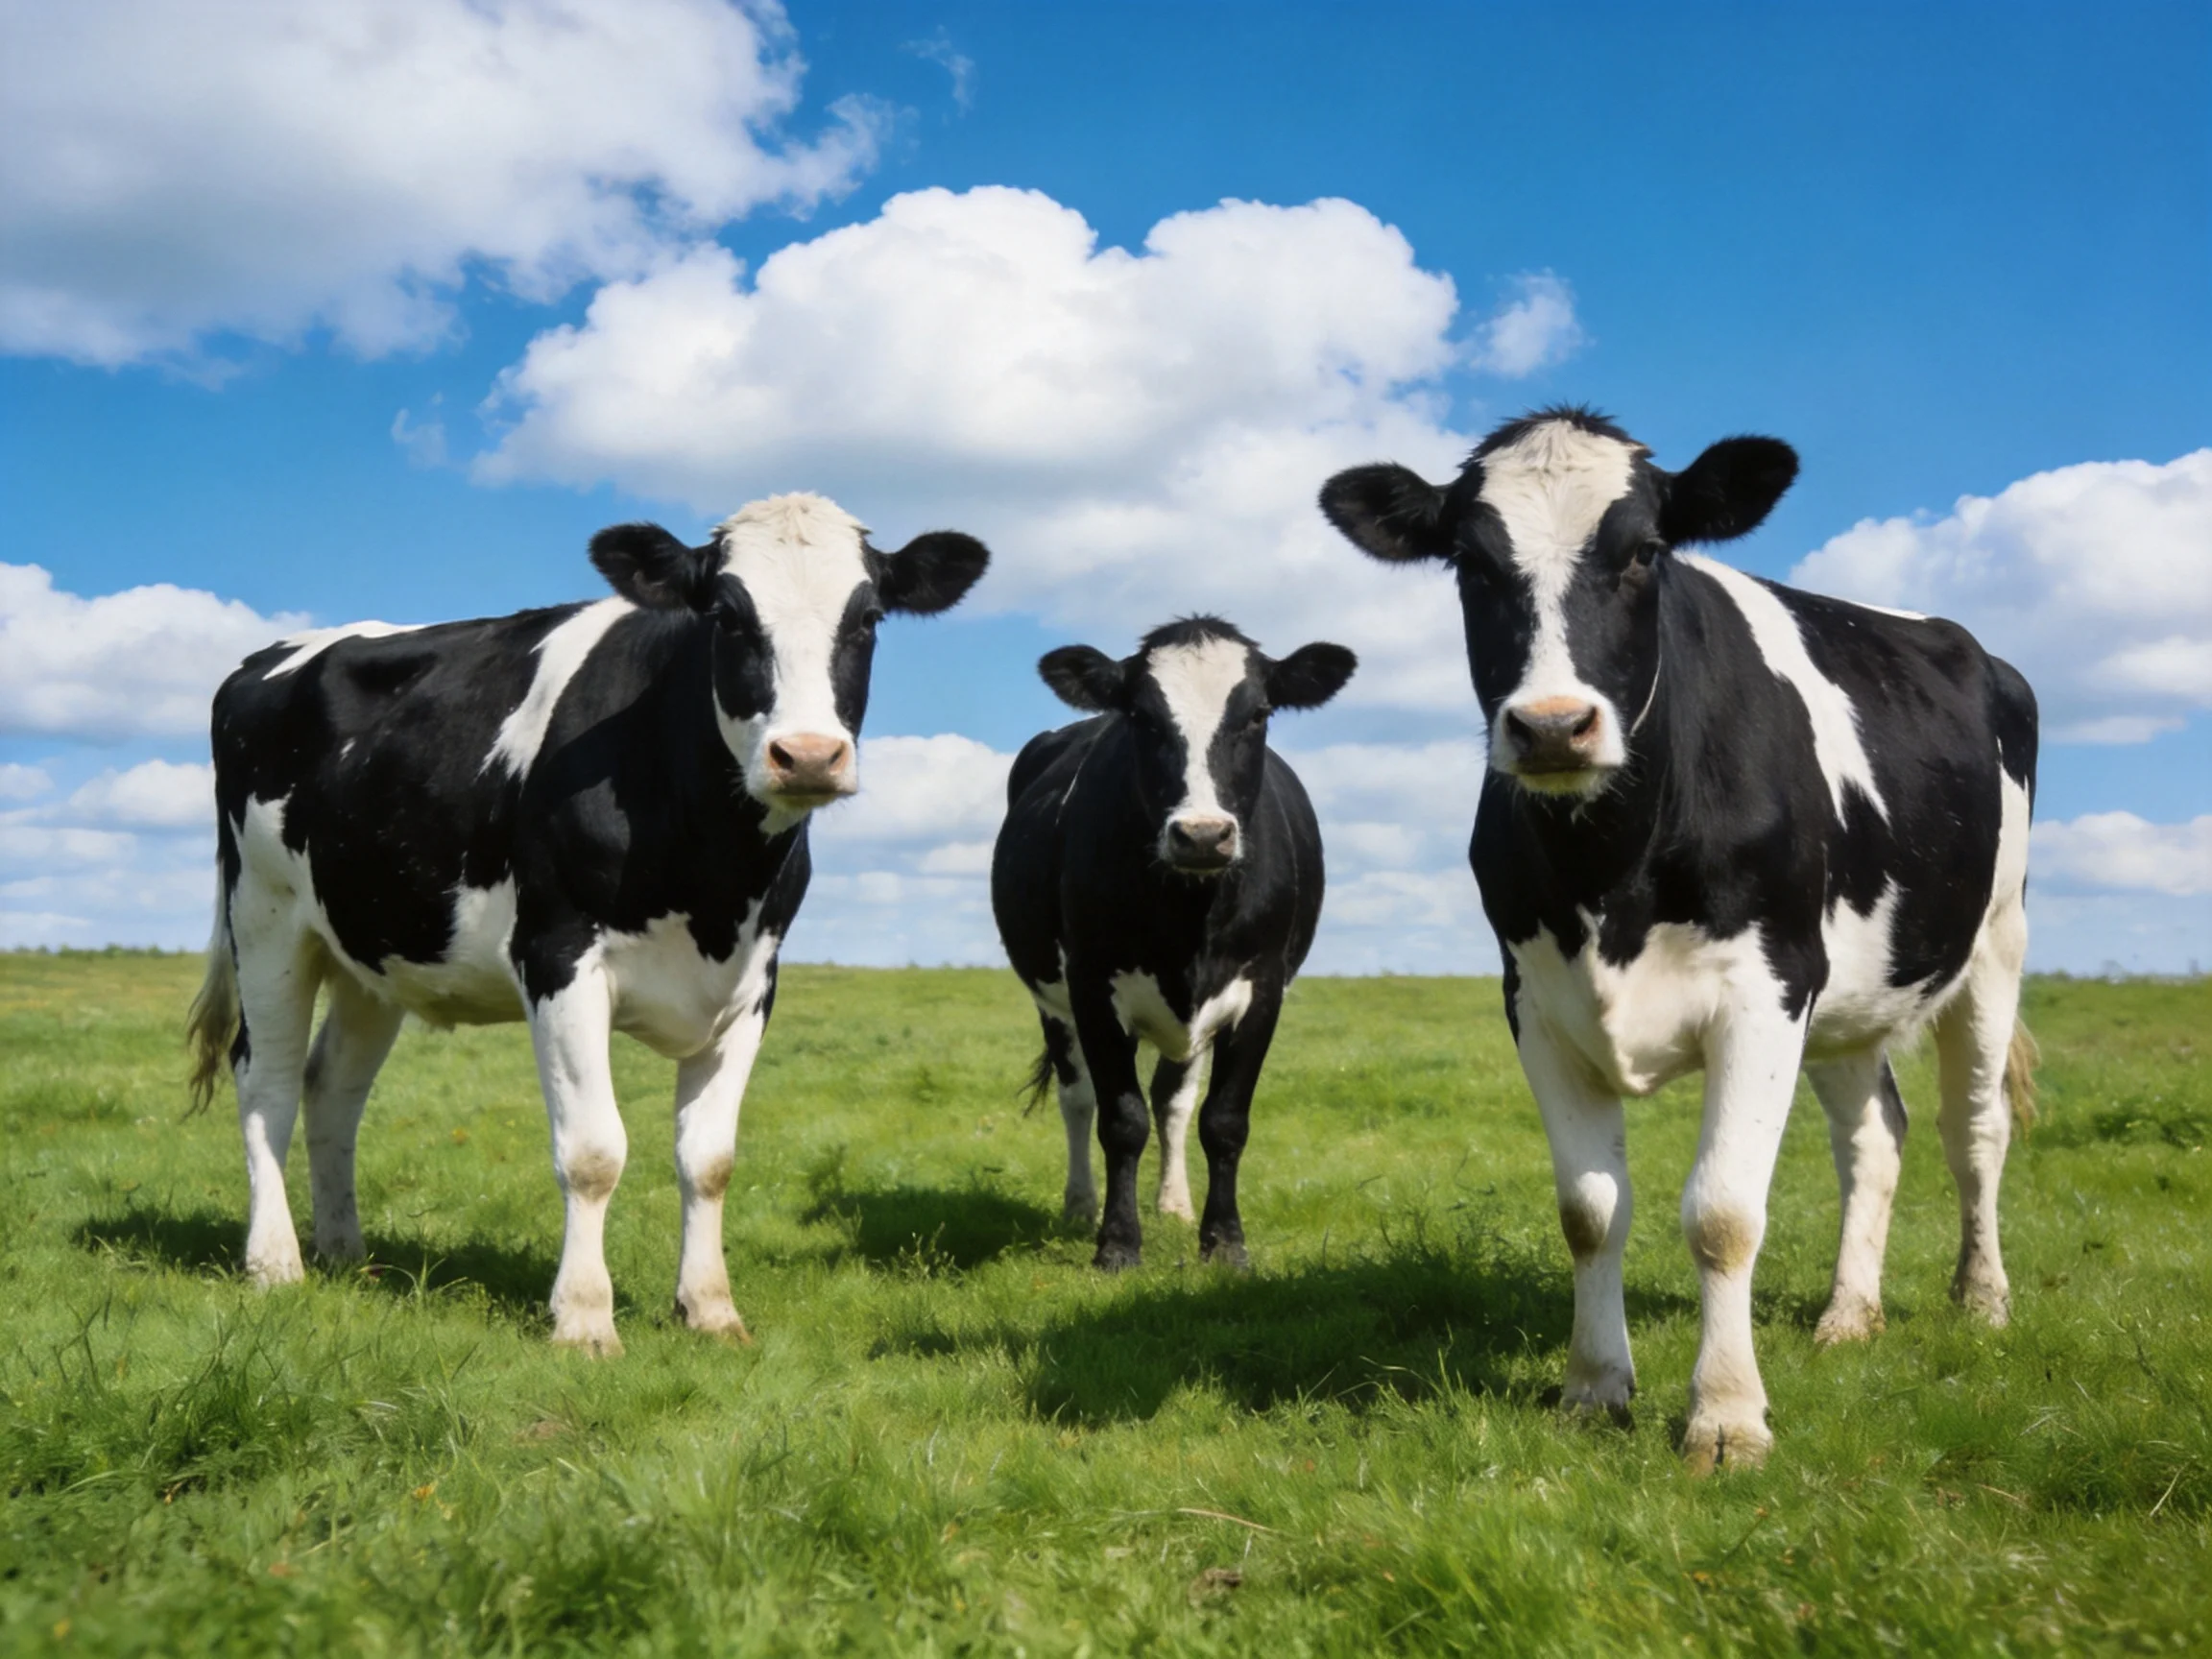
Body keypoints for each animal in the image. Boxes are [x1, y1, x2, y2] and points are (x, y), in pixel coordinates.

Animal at [186, 494, 988, 1354]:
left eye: (868, 617)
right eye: (727, 616)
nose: (806, 755)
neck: (713, 877)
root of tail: (269, 656)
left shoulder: (753, 985)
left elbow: (710, 1159)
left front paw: (709, 1309)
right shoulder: (558, 957)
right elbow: (594, 1151)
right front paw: (582, 1318)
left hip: (373, 946)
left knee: (332, 1085)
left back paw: (345, 1253)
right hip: (265, 920)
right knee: (265, 1080)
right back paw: (275, 1263)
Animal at [992, 618, 1356, 1270]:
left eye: (1259, 712)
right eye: (1142, 715)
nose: (1203, 834)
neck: (1192, 918)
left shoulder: (1262, 990)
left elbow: (1223, 1120)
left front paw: (1224, 1242)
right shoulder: (1091, 985)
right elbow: (1121, 1119)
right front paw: (1116, 1244)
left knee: (1175, 1099)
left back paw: (1175, 1204)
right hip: (1052, 1003)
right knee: (1077, 1097)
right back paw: (1080, 1205)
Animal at [1321, 408, 2036, 1471]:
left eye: (1643, 553)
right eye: (1470, 565)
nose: (1552, 726)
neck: (1608, 871)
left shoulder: (1767, 986)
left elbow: (1723, 1214)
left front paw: (1727, 1416)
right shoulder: (1535, 1002)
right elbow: (1589, 1211)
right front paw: (1593, 1388)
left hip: (1992, 942)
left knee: (1973, 1128)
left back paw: (1982, 1299)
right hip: (1849, 994)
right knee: (1874, 1135)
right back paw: (1848, 1314)